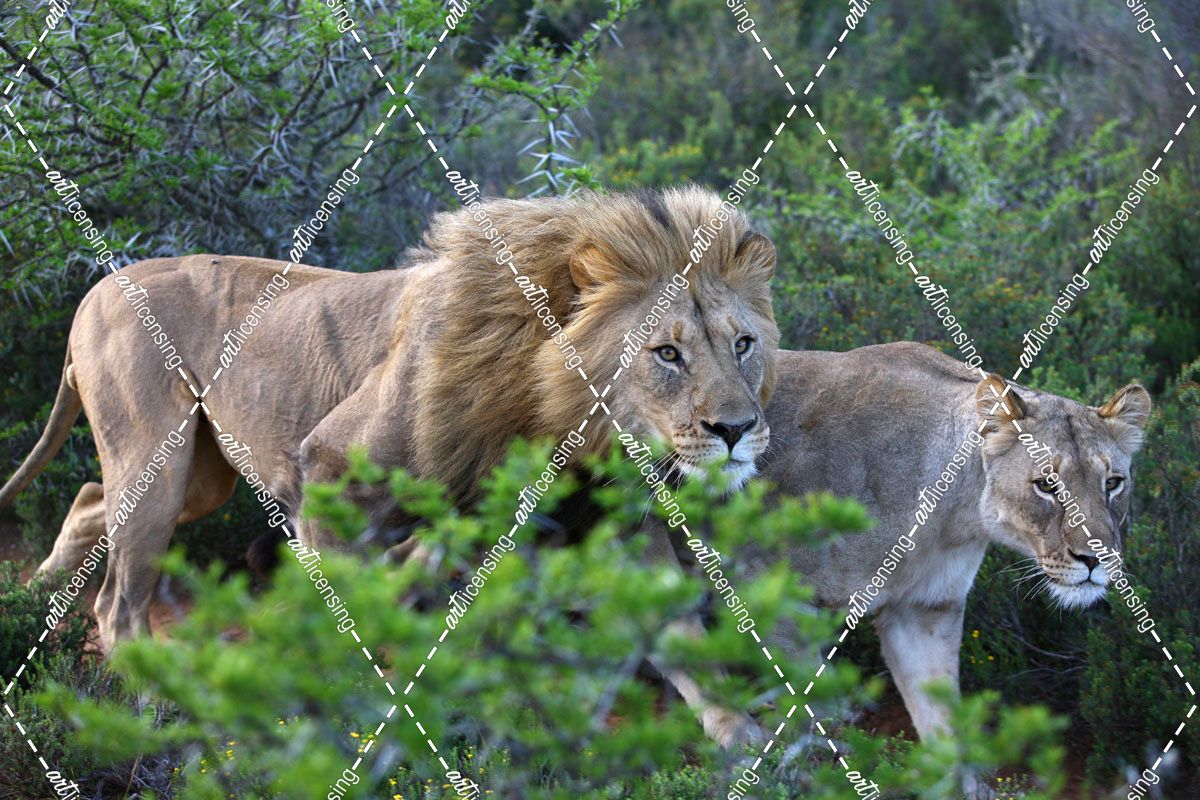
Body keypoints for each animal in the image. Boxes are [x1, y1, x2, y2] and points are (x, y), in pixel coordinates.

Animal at [0, 186, 780, 652]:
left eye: (744, 344)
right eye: (667, 353)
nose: (736, 431)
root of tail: (97, 288)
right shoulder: (328, 469)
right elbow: (351, 617)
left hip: (200, 478)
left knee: (87, 499)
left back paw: (31, 594)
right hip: (158, 466)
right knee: (117, 606)